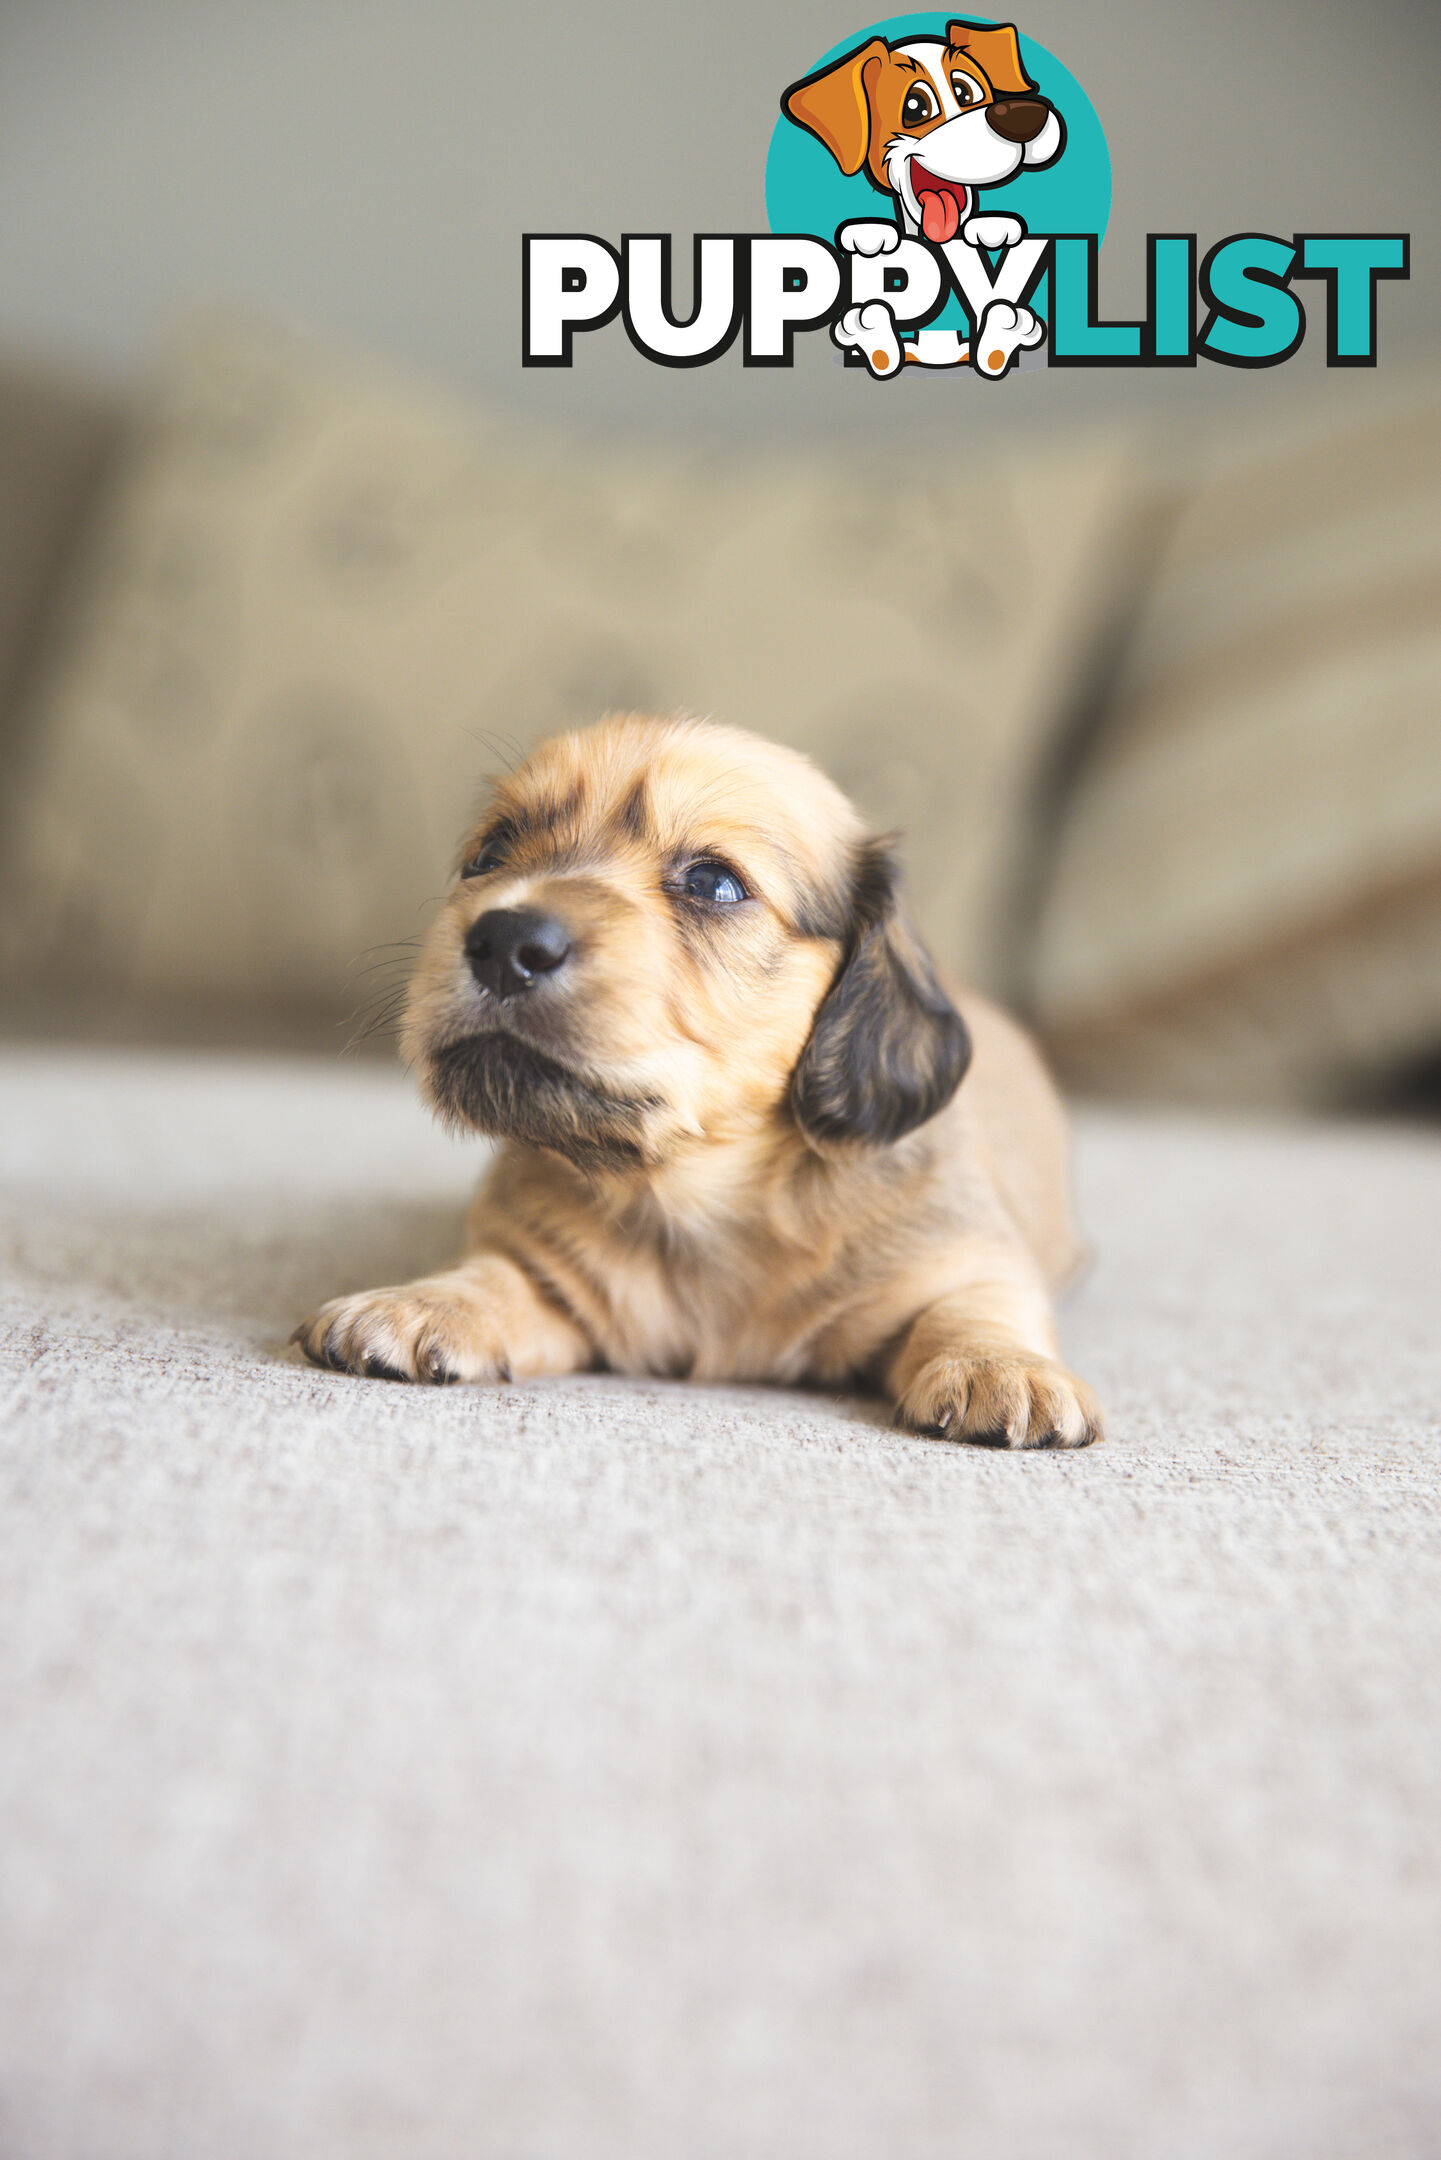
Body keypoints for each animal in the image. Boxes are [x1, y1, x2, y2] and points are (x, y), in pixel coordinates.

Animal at [295, 712, 1106, 1451]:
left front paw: (1001, 1368)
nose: (501, 941)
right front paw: (421, 1303)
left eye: (714, 883)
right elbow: (497, 1278)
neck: (692, 1193)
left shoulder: (965, 1259)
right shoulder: (550, 1280)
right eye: (489, 854)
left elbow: (973, 1307)